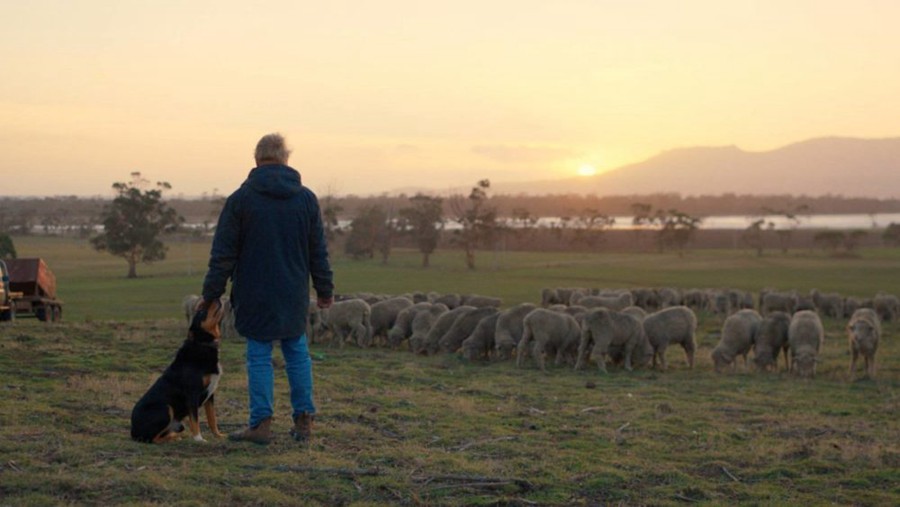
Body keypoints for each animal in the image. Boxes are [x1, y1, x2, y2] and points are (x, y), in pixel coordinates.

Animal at [132, 300, 227, 442]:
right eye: (201, 311)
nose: (216, 299)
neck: (202, 344)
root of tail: (133, 431)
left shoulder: (210, 394)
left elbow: (212, 419)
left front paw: (218, 435)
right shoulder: (192, 394)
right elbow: (195, 420)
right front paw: (199, 439)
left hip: (178, 423)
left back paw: (174, 436)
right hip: (166, 408)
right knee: (152, 438)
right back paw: (173, 439)